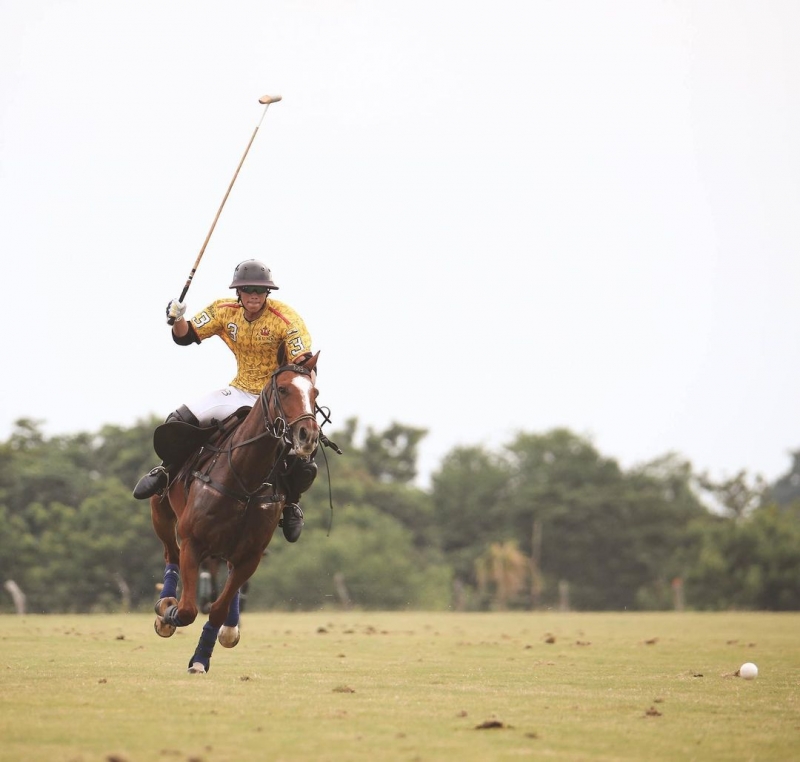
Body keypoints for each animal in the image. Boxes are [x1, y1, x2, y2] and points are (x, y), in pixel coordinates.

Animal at [150, 350, 318, 672]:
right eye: (283, 389)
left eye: (314, 393)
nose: (308, 436)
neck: (246, 480)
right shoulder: (193, 542)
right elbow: (188, 609)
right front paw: (169, 614)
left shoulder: (250, 555)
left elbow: (217, 608)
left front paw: (201, 658)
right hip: (161, 514)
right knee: (170, 554)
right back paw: (165, 606)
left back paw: (230, 625)